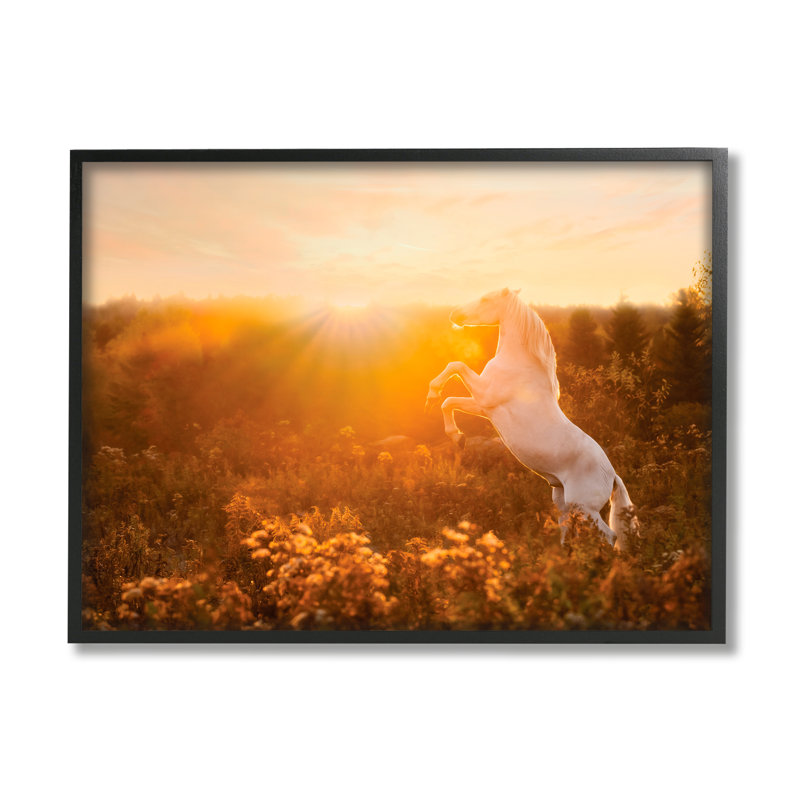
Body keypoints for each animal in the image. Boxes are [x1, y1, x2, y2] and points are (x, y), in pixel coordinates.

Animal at [425, 287, 640, 550]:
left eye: (486, 299)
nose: (454, 314)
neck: (519, 363)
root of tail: (611, 474)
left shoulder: (484, 395)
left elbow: (455, 369)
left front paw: (438, 405)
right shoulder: (483, 407)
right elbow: (449, 401)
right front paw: (458, 437)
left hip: (584, 508)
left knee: (609, 536)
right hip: (563, 501)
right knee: (569, 530)